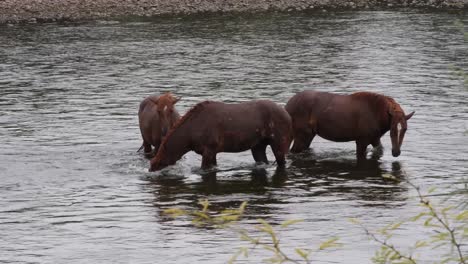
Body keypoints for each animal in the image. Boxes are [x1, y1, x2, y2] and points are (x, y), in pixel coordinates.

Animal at [150, 99, 290, 171]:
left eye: (158, 162)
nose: (150, 169)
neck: (188, 138)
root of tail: (288, 115)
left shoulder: (209, 149)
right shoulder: (211, 152)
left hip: (279, 143)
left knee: (282, 162)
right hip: (258, 146)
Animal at [286, 91, 414, 160]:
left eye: (405, 129)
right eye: (392, 129)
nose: (396, 152)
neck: (377, 114)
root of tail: (287, 107)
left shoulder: (375, 139)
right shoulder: (362, 140)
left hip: (309, 135)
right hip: (302, 135)